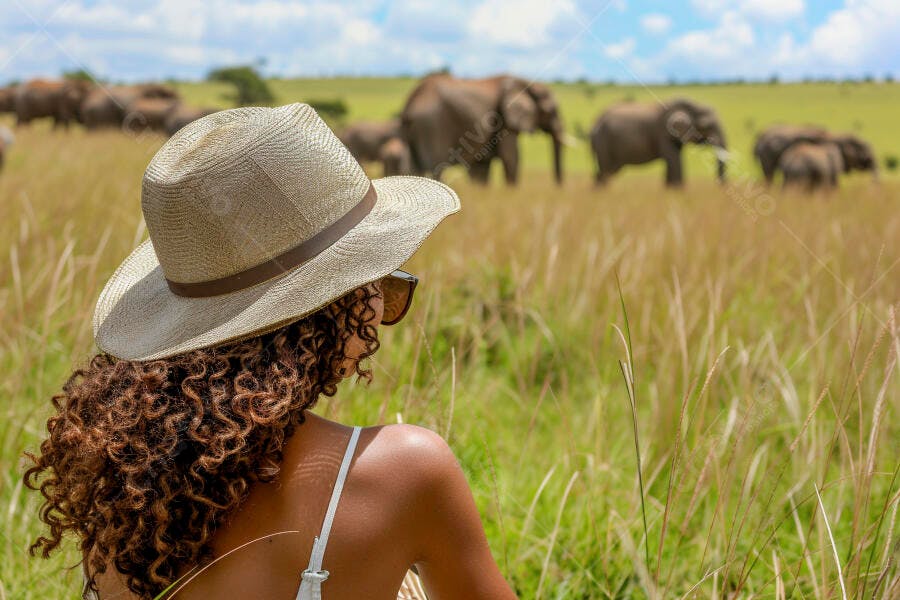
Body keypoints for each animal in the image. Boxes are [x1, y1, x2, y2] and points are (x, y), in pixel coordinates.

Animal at [400, 73, 565, 185]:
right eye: (550, 111)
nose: (558, 190)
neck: (527, 82)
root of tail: (411, 100)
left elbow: (481, 168)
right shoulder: (503, 120)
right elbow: (511, 158)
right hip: (432, 125)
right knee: (435, 167)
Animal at [589, 98, 727, 187]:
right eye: (706, 126)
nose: (718, 186)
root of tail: (594, 123)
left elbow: (672, 162)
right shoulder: (664, 133)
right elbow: (674, 161)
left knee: (604, 172)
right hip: (603, 141)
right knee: (605, 171)